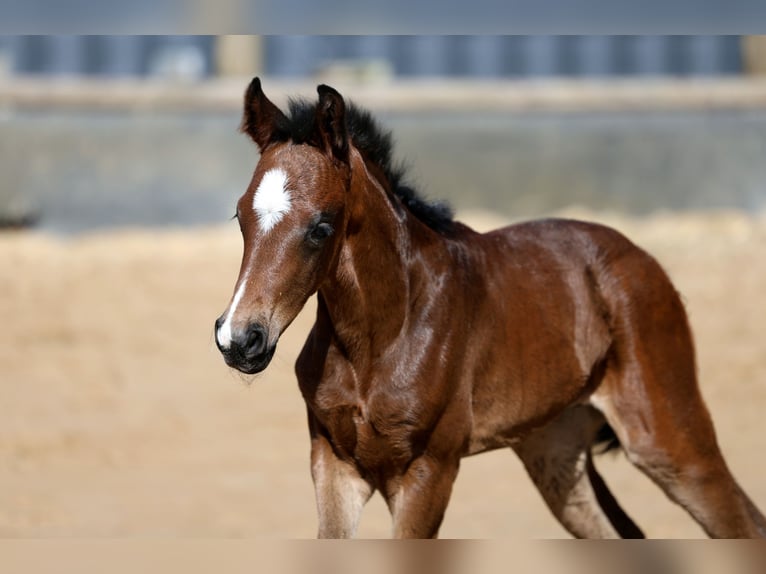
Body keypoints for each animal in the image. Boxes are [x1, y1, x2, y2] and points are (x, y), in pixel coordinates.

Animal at [214, 78, 766, 538]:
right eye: (240, 216)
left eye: (321, 226)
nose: (239, 339)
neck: (379, 338)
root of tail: (644, 262)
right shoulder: (334, 465)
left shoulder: (429, 469)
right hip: (555, 451)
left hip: (669, 439)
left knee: (741, 521)